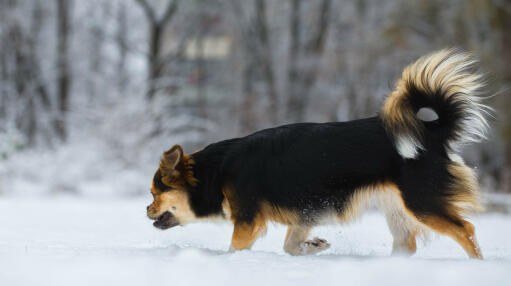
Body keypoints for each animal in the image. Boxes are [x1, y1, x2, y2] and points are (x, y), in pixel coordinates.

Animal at [146, 49, 490, 260]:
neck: (215, 172)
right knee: (407, 245)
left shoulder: (247, 221)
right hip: (398, 209)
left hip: (422, 202)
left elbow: (237, 249)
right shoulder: (304, 213)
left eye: (154, 193)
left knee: (467, 230)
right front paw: (314, 246)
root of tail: (432, 133)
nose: (146, 210)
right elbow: (290, 246)